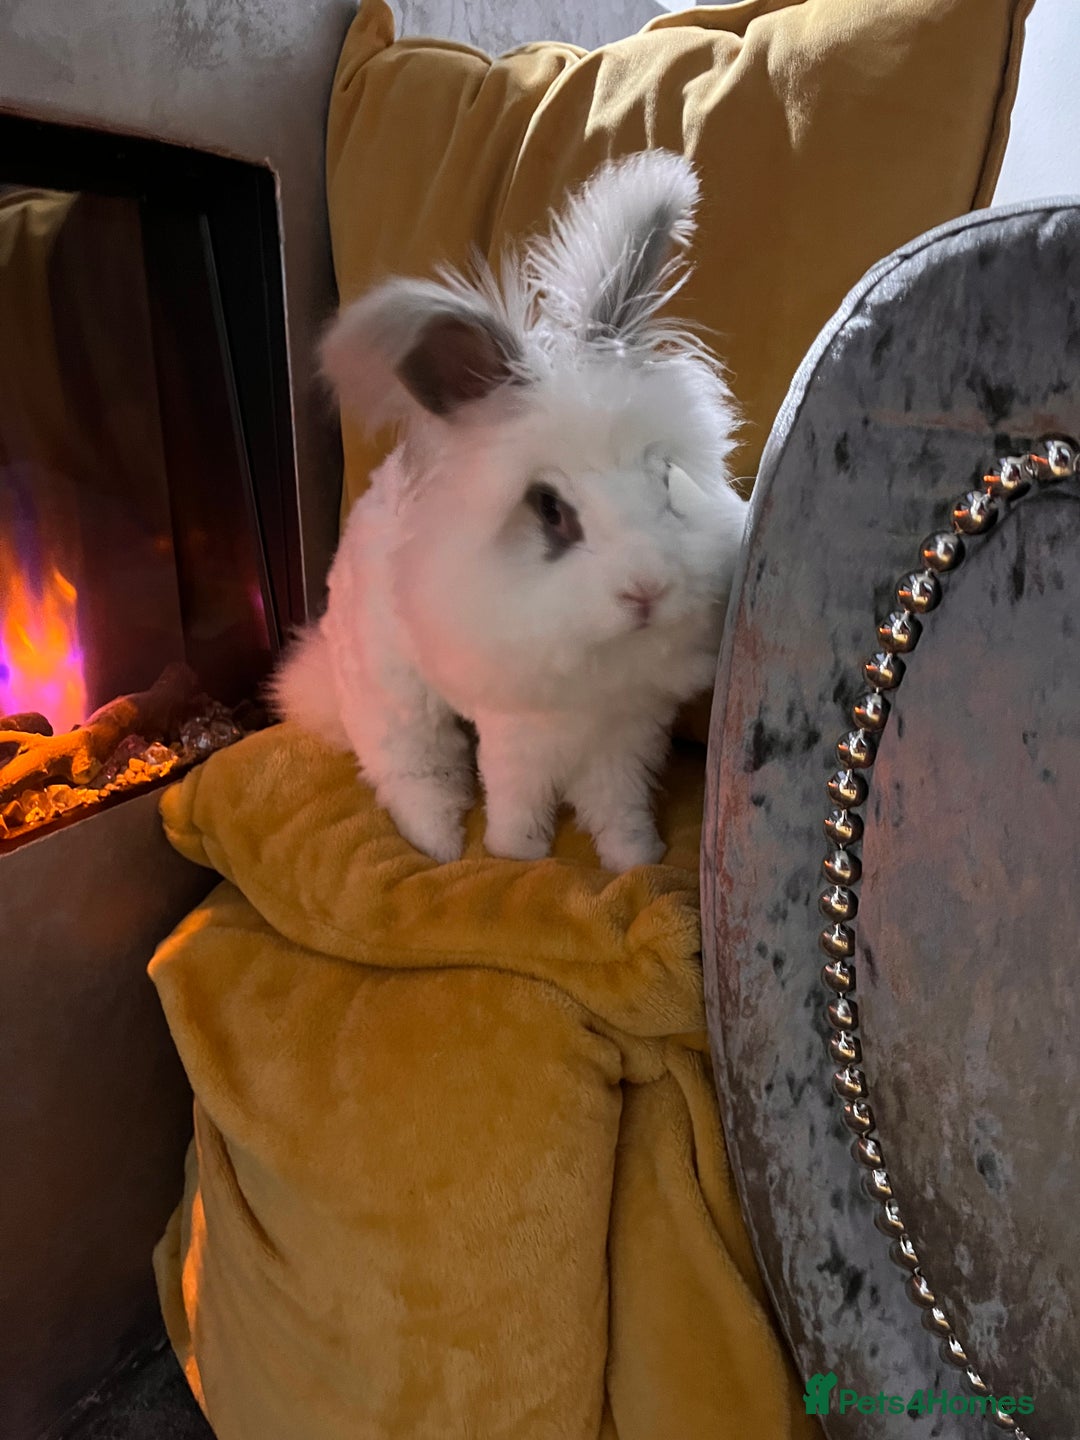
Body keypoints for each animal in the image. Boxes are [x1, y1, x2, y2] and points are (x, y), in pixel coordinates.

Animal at [271, 149, 747, 872]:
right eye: (550, 509)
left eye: (664, 478)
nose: (646, 591)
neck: (597, 661)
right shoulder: (518, 734)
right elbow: (519, 797)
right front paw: (516, 855)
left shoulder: (624, 738)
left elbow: (617, 804)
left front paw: (636, 859)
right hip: (394, 695)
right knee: (411, 769)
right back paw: (438, 844)